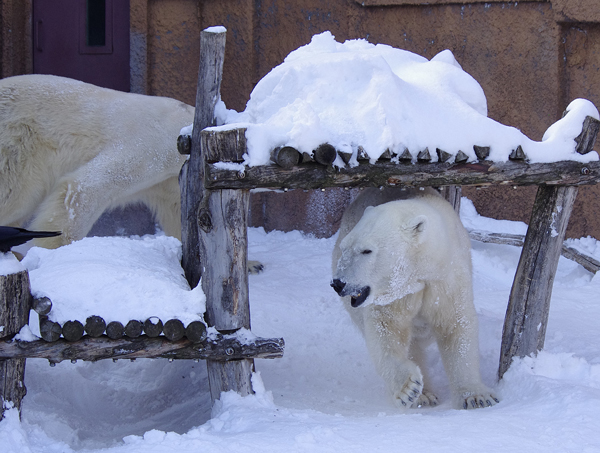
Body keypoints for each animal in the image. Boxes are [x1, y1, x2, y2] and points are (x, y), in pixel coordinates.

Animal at [0, 76, 192, 249]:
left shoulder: (168, 185)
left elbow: (177, 213)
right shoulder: (154, 146)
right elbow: (86, 188)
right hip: (18, 141)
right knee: (14, 194)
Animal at [330, 187, 500, 410]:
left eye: (367, 250)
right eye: (345, 247)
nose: (338, 283)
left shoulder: (445, 281)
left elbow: (456, 327)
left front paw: (477, 397)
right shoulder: (395, 295)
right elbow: (387, 332)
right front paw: (408, 388)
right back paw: (423, 395)